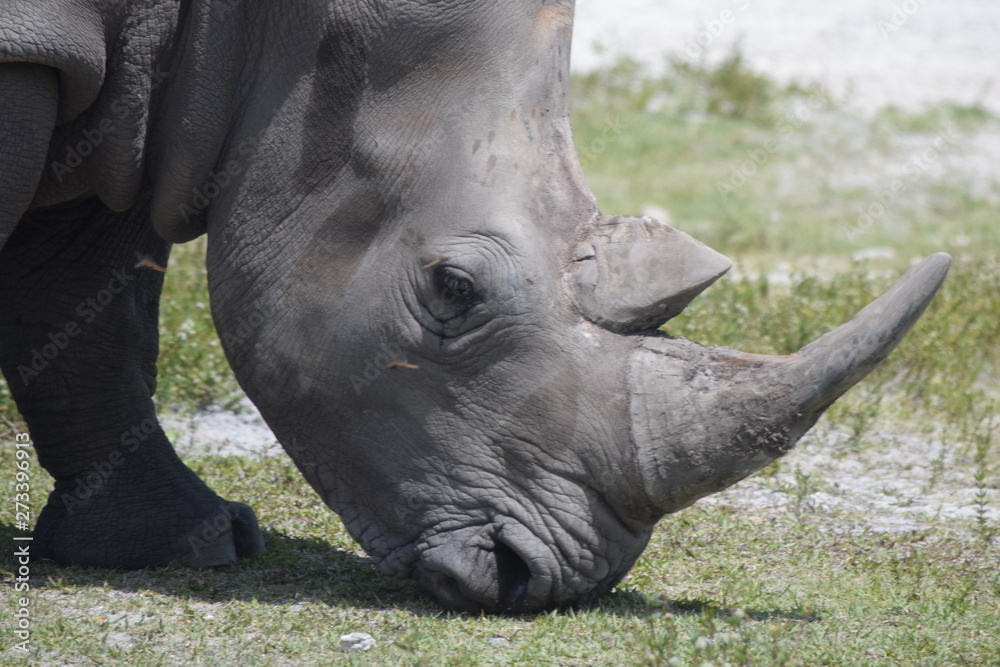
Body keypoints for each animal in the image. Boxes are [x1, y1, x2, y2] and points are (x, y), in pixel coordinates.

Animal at [0, 0, 949, 613]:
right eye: (454, 288)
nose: (540, 581)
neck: (272, 28)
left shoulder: (133, 99)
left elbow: (85, 312)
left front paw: (184, 548)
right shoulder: (36, 45)